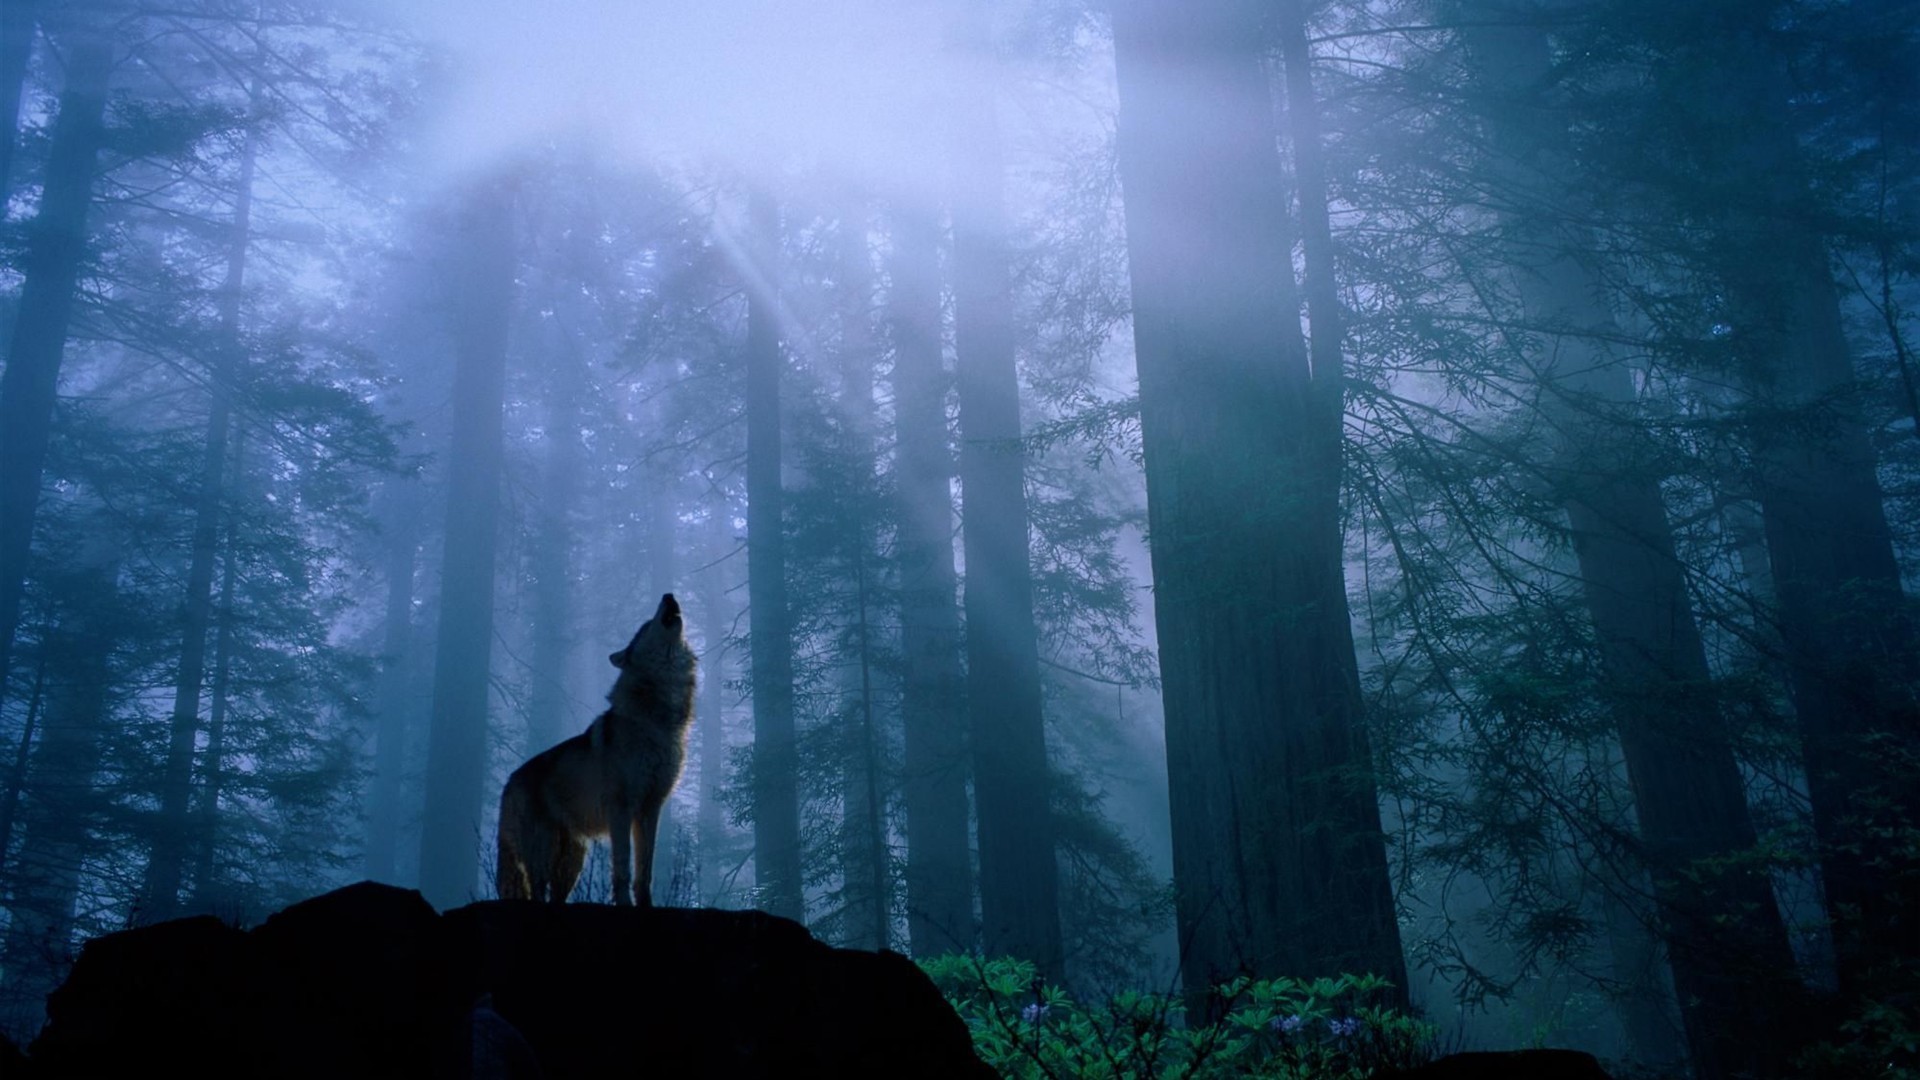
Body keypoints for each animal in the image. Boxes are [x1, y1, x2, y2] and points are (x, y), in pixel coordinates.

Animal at [495, 593, 697, 906]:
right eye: (645, 626)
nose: (669, 595)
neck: (657, 719)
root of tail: (509, 781)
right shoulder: (621, 809)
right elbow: (623, 867)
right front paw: (625, 904)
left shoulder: (651, 808)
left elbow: (645, 871)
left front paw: (646, 905)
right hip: (542, 854)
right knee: (537, 892)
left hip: (572, 861)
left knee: (555, 897)